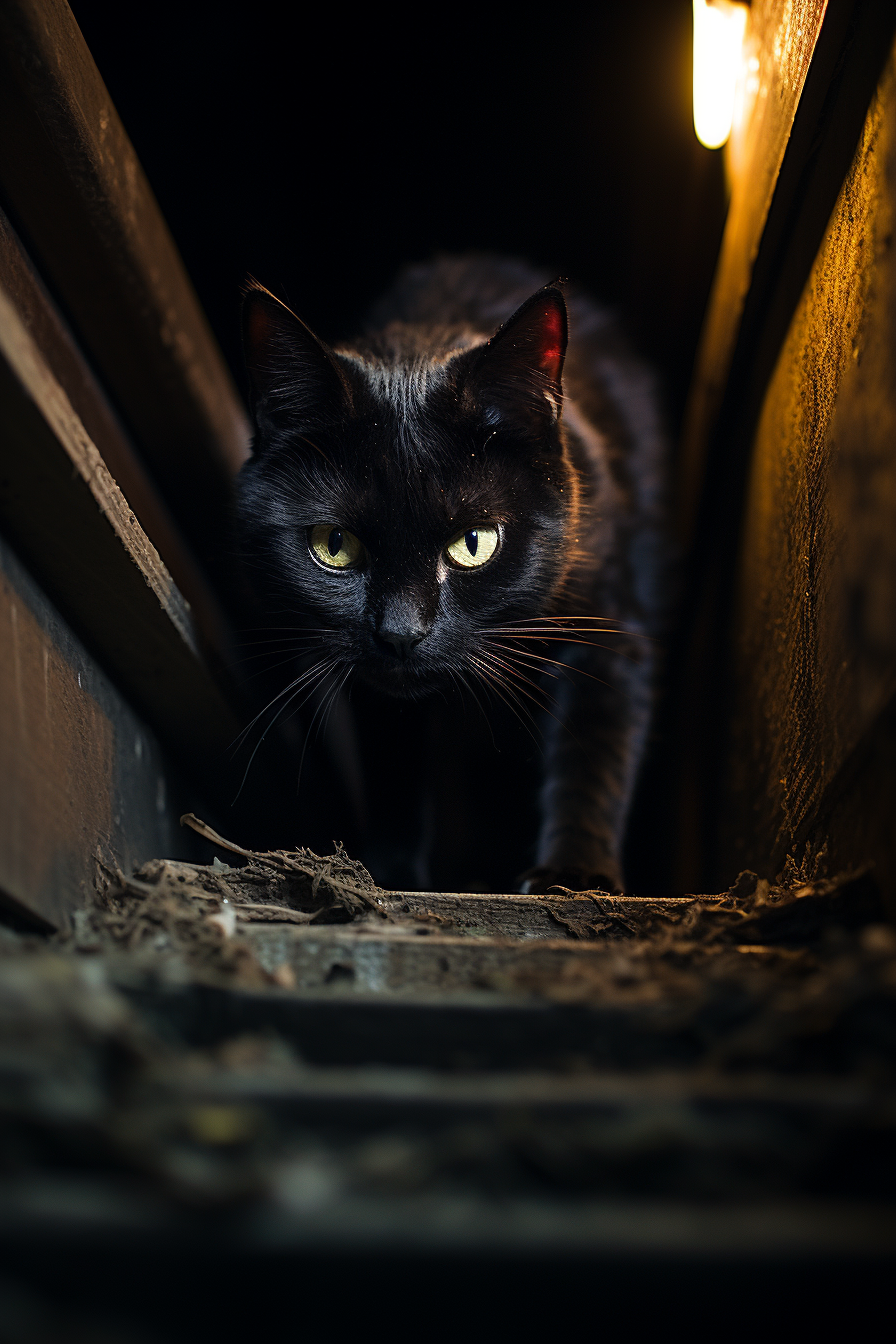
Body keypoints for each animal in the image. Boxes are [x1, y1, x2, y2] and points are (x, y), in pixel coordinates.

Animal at [235, 256, 668, 897]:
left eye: (474, 544)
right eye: (334, 546)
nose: (400, 633)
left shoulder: (609, 624)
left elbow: (593, 751)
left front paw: (573, 877)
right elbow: (399, 770)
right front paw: (396, 874)